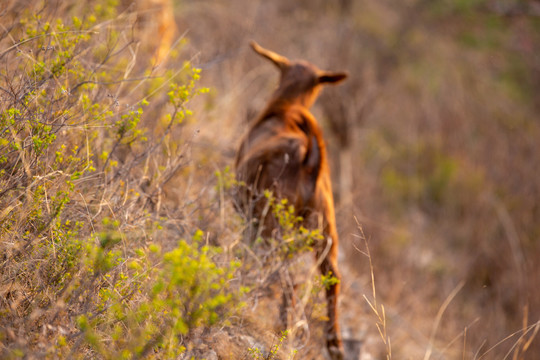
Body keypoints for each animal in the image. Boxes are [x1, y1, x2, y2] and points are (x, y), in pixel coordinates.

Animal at [234, 41, 348, 360]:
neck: (284, 109)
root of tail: (310, 161)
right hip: (326, 233)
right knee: (333, 279)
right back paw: (334, 344)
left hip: (276, 226)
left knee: (286, 275)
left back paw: (285, 326)